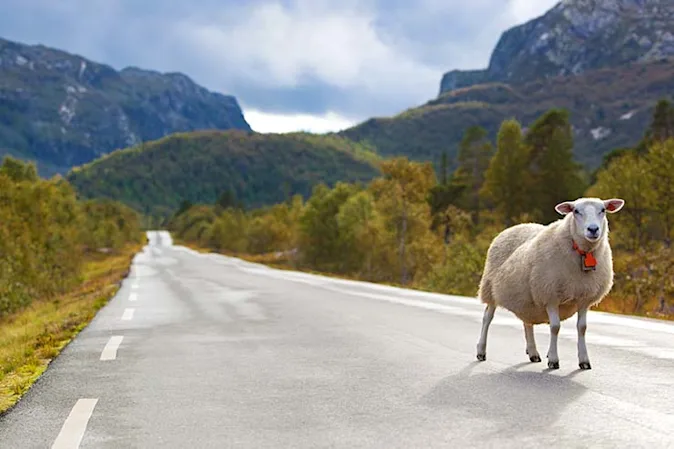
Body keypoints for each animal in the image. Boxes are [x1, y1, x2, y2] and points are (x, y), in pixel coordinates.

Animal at [475, 197, 625, 370]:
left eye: (603, 210)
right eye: (576, 211)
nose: (593, 229)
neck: (582, 252)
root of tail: (517, 225)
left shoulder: (584, 298)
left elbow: (582, 328)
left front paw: (584, 360)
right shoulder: (550, 294)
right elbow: (555, 327)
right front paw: (553, 360)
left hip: (526, 298)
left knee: (527, 323)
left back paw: (533, 353)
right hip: (490, 288)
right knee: (487, 318)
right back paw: (481, 351)